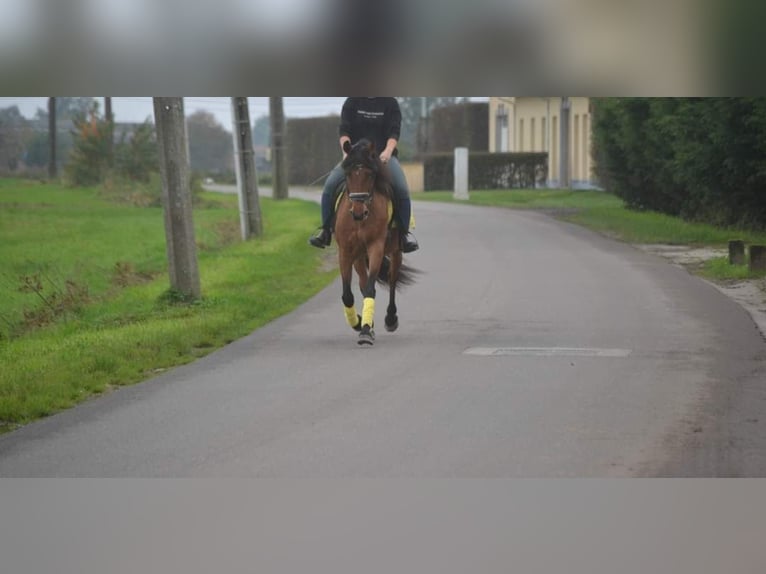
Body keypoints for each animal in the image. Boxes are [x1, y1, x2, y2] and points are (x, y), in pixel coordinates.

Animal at [336, 140, 420, 346]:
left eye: (370, 174)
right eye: (348, 174)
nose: (358, 212)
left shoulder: (376, 247)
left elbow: (370, 289)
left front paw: (366, 330)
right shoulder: (345, 251)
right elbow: (347, 294)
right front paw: (358, 322)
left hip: (396, 251)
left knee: (392, 280)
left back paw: (390, 319)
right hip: (359, 257)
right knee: (362, 281)